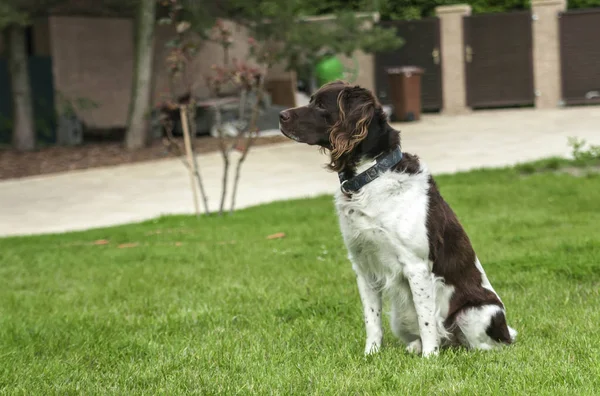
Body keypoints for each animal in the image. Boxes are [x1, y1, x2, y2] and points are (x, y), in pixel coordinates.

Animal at [278, 80, 516, 356]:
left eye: (320, 105)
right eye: (311, 100)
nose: (280, 115)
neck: (370, 178)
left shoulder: (416, 266)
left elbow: (427, 320)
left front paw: (430, 358)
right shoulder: (363, 266)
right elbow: (371, 318)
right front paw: (371, 354)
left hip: (477, 313)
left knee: (483, 343)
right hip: (400, 318)